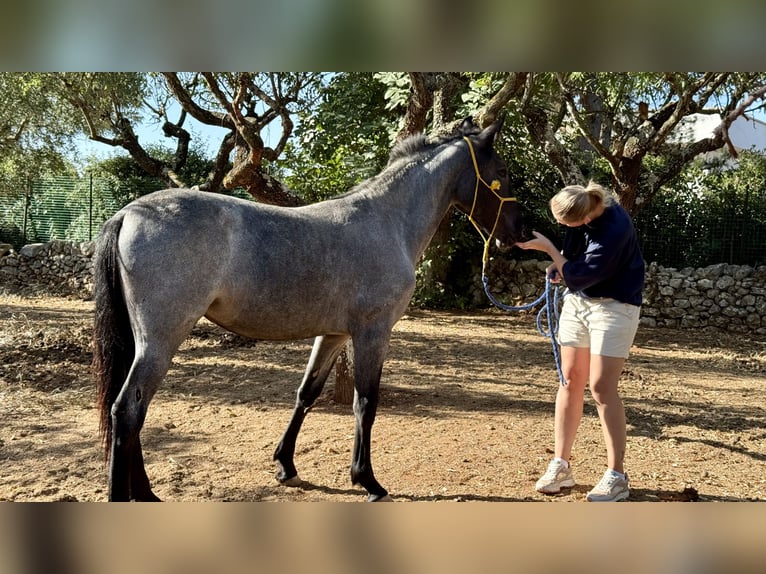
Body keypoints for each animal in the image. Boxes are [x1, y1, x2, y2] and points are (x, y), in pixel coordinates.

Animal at [92, 116, 524, 501]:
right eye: (501, 171)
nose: (517, 234)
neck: (387, 222)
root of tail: (128, 213)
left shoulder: (333, 334)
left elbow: (307, 393)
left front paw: (286, 465)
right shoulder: (373, 332)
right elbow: (365, 403)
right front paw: (368, 481)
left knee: (128, 414)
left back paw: (147, 494)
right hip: (160, 341)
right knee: (128, 410)